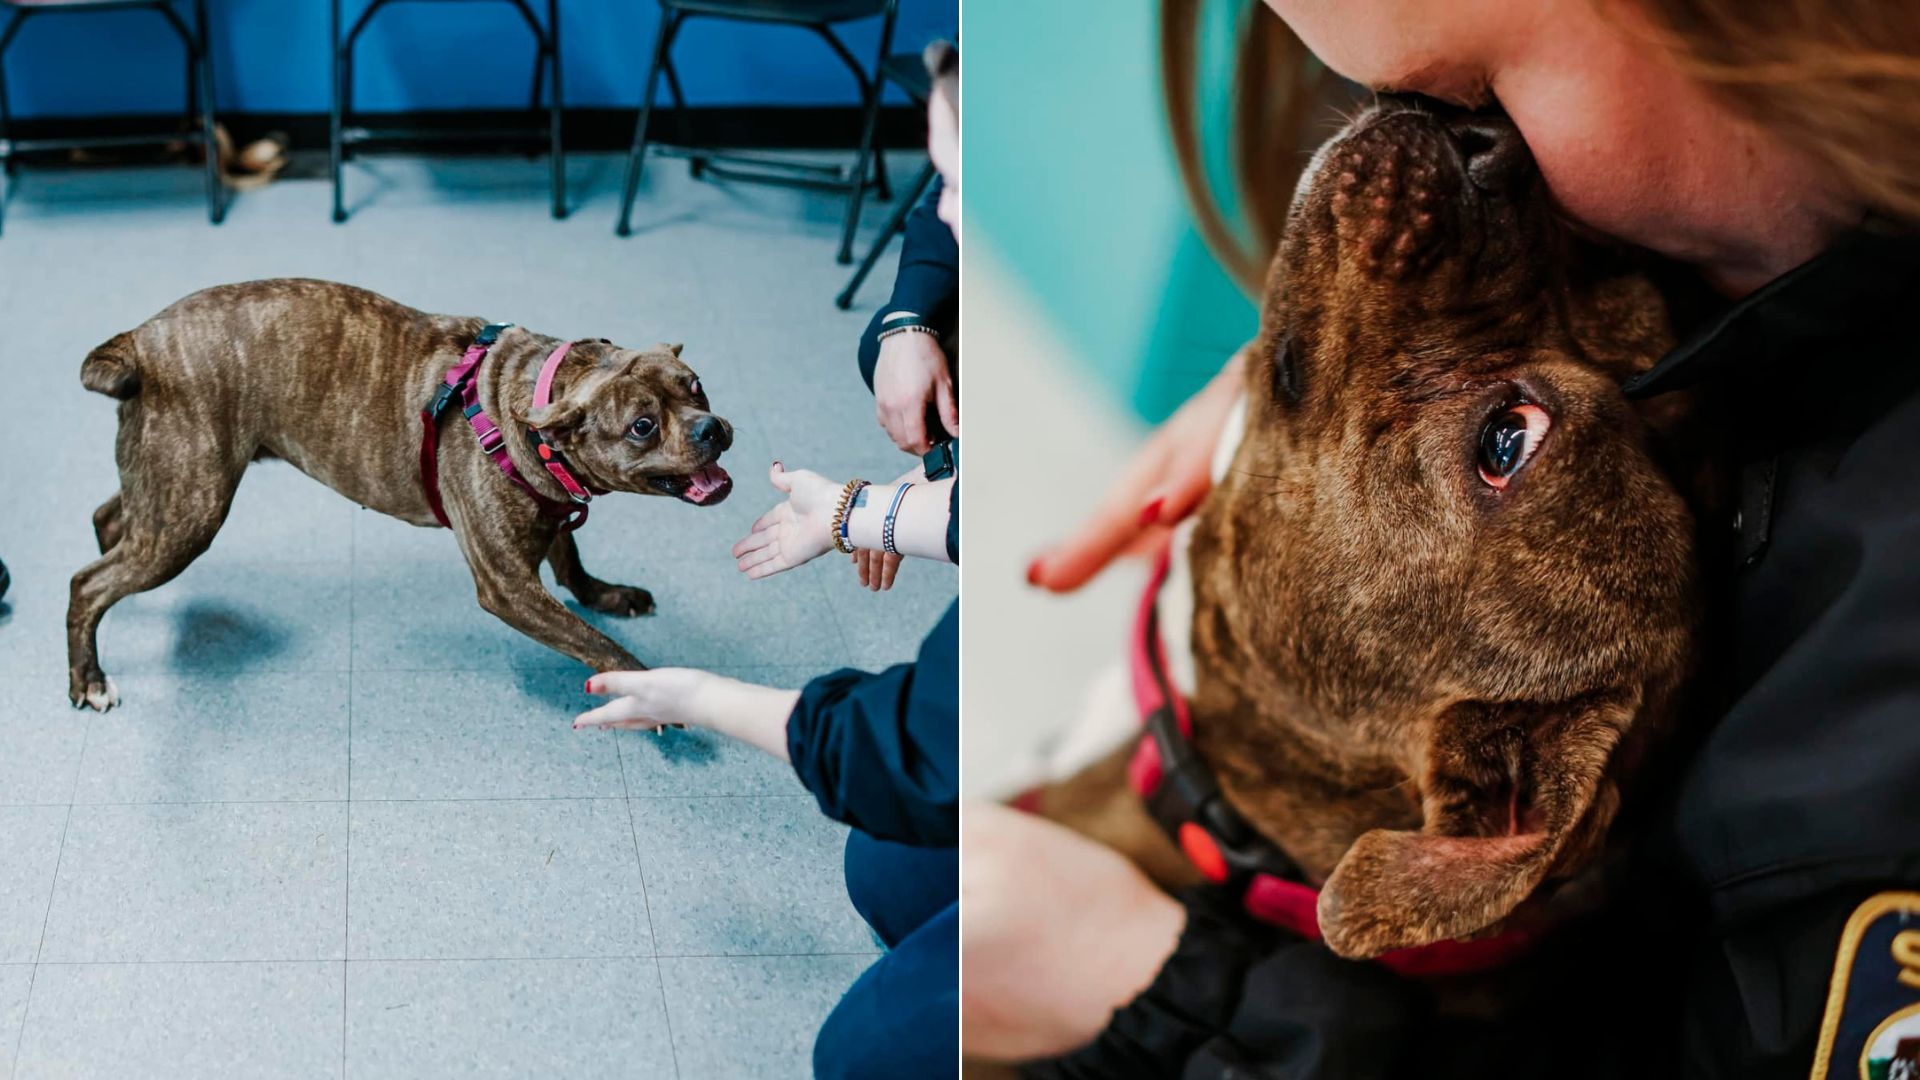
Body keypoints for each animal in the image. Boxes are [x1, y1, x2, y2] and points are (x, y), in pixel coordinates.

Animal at [67, 276, 725, 707]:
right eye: (642, 425)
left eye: (696, 386)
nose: (712, 429)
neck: (530, 401)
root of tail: (141, 340)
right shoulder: (509, 588)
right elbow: (596, 642)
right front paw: (650, 692)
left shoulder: (555, 509)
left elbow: (574, 568)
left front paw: (607, 594)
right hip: (191, 510)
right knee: (88, 583)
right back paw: (88, 679)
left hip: (167, 485)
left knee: (107, 521)